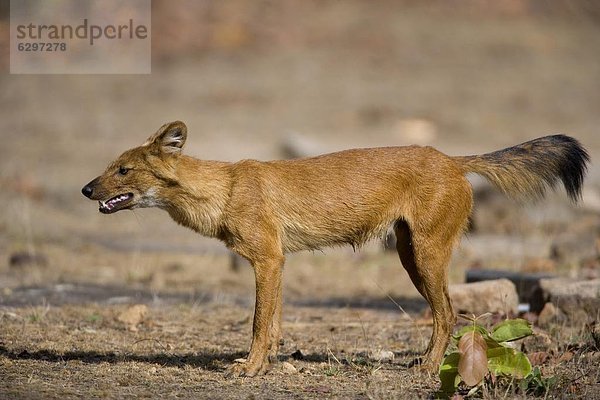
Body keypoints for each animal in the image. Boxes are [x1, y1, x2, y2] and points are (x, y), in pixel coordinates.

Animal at [82, 121, 588, 376]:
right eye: (109, 167)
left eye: (124, 170)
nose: (86, 189)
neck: (222, 190)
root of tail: (451, 158)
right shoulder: (277, 261)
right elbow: (274, 322)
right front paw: (267, 363)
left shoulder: (267, 259)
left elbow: (257, 324)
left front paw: (249, 369)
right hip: (408, 253)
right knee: (445, 313)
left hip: (424, 255)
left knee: (448, 313)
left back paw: (426, 369)